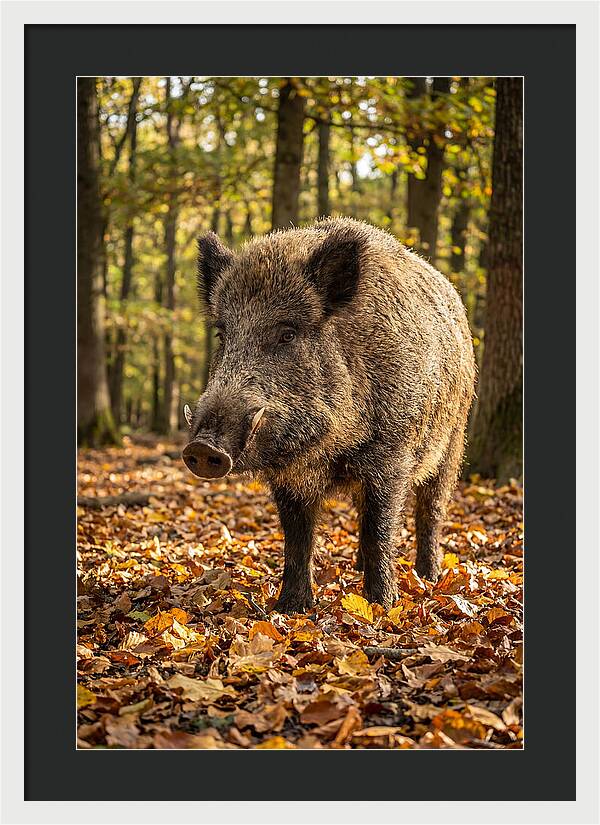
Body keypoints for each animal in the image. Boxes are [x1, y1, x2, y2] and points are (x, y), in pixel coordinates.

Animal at [182, 217, 475, 614]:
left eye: (288, 334)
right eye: (222, 334)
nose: (202, 448)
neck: (327, 449)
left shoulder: (391, 456)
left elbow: (380, 529)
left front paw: (381, 606)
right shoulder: (289, 478)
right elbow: (297, 538)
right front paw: (290, 608)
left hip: (453, 440)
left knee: (431, 510)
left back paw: (428, 577)